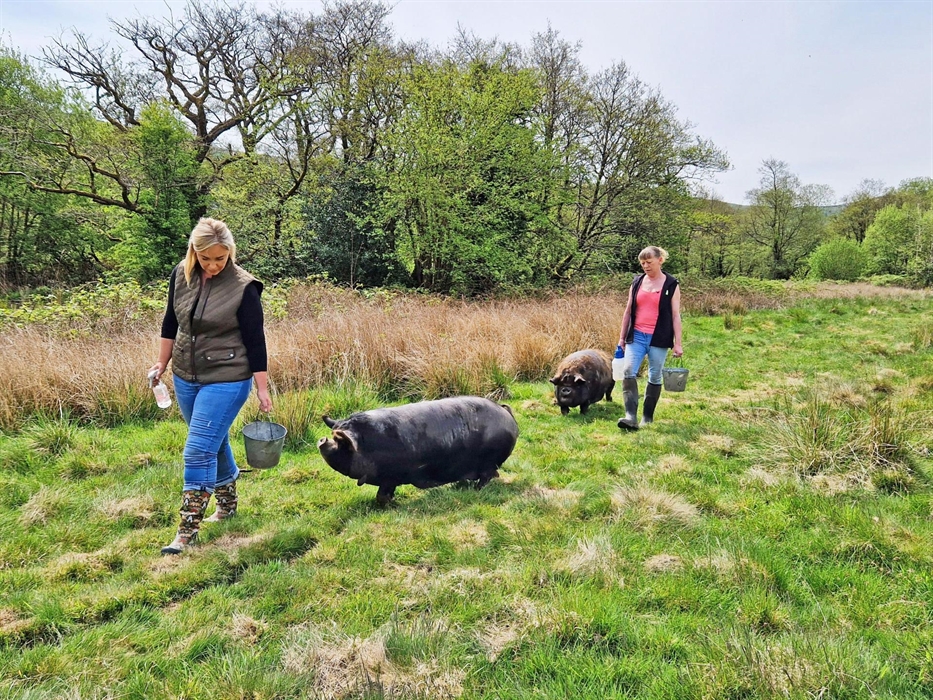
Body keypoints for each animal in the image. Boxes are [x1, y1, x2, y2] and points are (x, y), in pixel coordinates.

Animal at [317, 396, 519, 505]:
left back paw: (476, 490)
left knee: (489, 475)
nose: (322, 439)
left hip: (490, 461)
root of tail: (506, 412)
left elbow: (383, 494)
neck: (369, 446)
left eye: (341, 441)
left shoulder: (391, 476)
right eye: (334, 434)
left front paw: (389, 504)